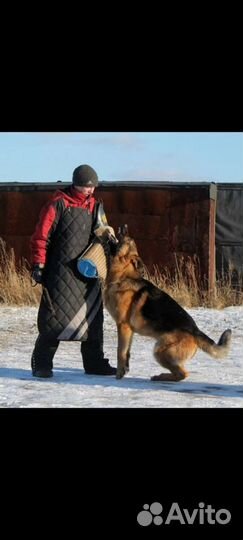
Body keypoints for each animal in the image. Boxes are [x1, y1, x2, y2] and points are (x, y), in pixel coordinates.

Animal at [104, 226, 232, 382]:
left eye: (127, 240)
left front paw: (119, 374)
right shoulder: (129, 331)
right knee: (181, 373)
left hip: (159, 351)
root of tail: (195, 331)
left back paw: (160, 376)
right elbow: (127, 352)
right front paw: (125, 370)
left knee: (182, 374)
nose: (125, 226)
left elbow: (120, 352)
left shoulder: (123, 326)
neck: (122, 276)